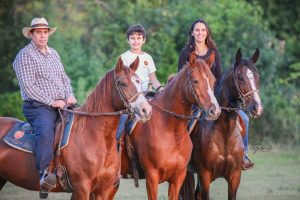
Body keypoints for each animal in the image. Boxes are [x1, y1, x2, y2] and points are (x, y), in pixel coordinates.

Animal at [0, 57, 151, 199]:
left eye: (139, 82)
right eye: (123, 84)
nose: (146, 110)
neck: (94, 137)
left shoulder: (103, 189)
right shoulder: (82, 188)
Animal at [109, 52, 221, 200]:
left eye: (213, 81)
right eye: (195, 81)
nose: (214, 110)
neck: (172, 132)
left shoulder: (177, 178)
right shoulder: (152, 178)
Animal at [179, 47, 264, 199]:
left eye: (257, 77)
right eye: (240, 78)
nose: (257, 108)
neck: (224, 132)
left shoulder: (235, 176)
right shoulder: (205, 176)